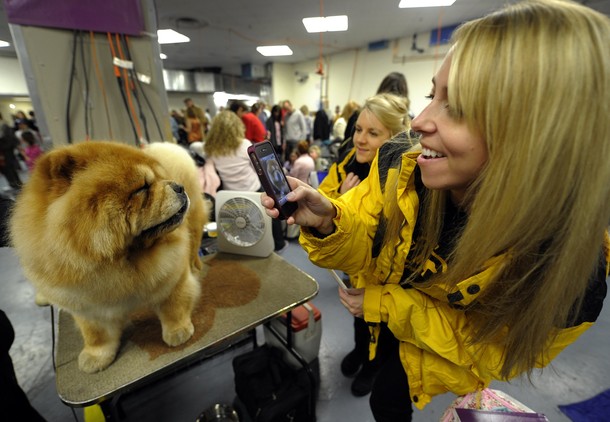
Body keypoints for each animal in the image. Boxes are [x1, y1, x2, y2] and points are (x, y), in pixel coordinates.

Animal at [9, 141, 207, 372]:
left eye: (160, 179)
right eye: (142, 188)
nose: (178, 186)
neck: (120, 261)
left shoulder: (171, 277)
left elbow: (173, 306)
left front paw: (177, 331)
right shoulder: (86, 306)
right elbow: (96, 335)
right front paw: (95, 357)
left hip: (194, 221)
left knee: (194, 243)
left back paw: (195, 265)